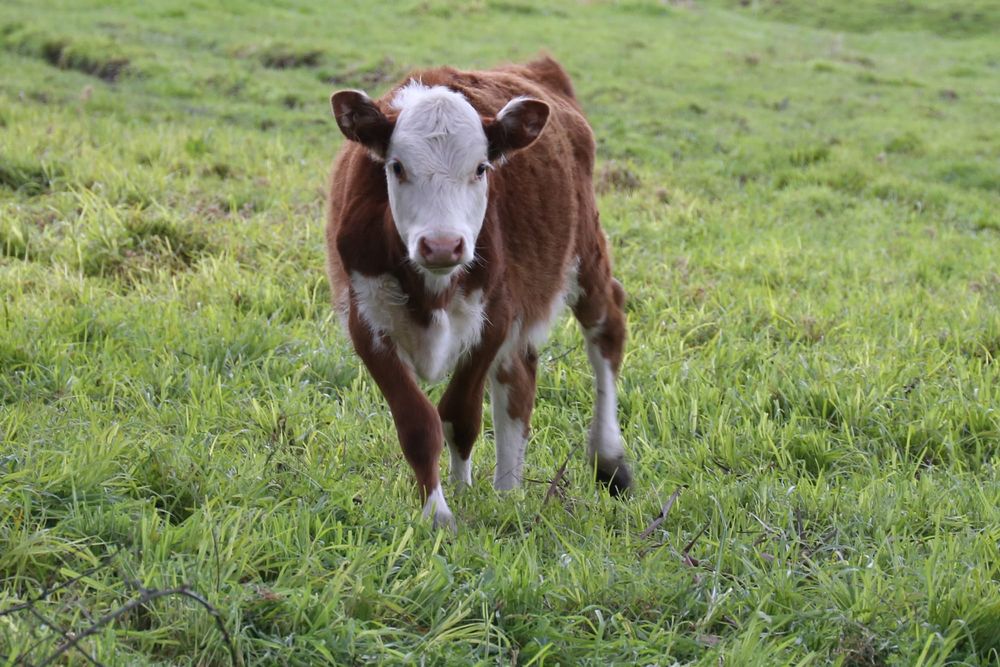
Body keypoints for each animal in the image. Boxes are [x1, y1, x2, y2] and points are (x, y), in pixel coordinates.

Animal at [326, 56, 631, 529]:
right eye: (397, 167)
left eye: (481, 168)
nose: (442, 245)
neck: (431, 290)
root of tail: (536, 67)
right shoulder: (366, 322)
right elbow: (418, 424)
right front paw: (439, 510)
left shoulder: (496, 316)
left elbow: (458, 415)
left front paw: (459, 493)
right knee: (518, 379)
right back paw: (508, 491)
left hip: (585, 252)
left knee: (607, 331)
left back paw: (609, 459)